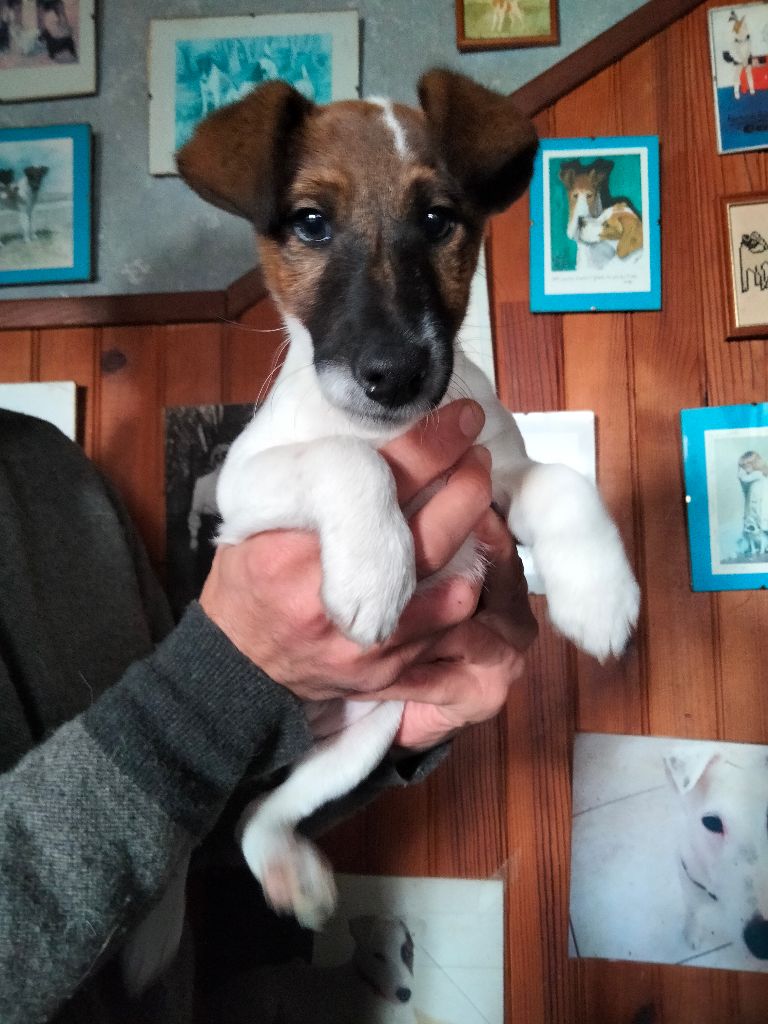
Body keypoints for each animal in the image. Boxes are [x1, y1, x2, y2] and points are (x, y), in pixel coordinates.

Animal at [121, 69, 641, 995]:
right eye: (309, 223)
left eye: (437, 220)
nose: (395, 374)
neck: (392, 428)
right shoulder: (245, 484)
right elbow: (346, 459)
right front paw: (373, 570)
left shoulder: (495, 469)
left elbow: (564, 483)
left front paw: (598, 595)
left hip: (366, 739)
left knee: (258, 816)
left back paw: (293, 872)